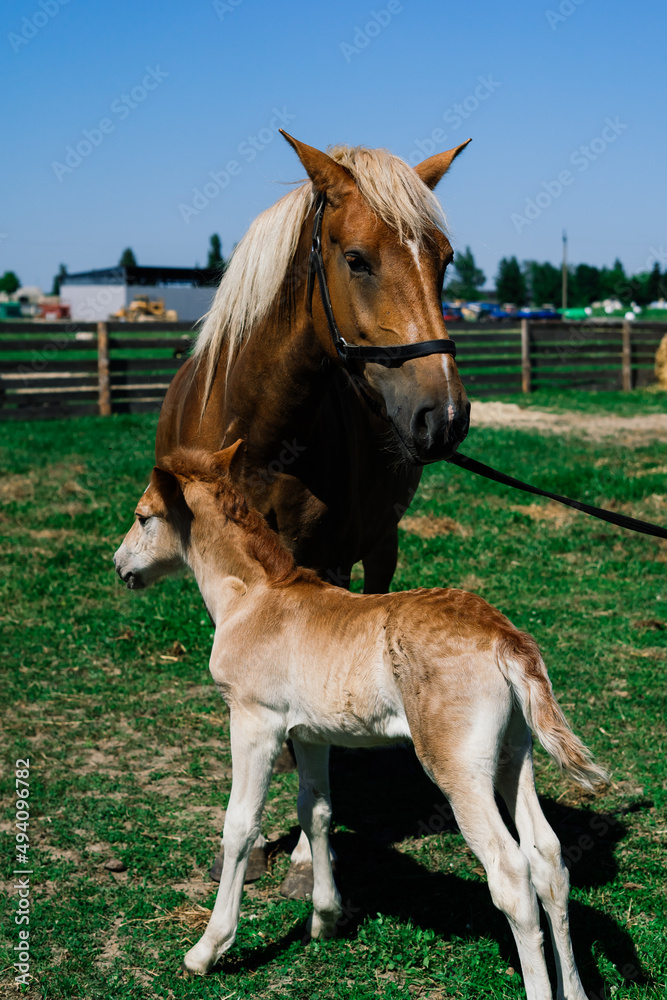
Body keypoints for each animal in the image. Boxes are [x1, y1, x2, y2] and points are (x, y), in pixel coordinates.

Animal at [114, 443, 608, 997]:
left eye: (143, 516)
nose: (119, 565)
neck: (254, 598)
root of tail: (505, 636)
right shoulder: (309, 734)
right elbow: (317, 810)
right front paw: (325, 919)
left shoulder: (254, 722)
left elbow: (239, 826)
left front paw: (207, 949)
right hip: (513, 754)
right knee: (548, 857)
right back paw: (574, 989)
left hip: (458, 766)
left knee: (511, 872)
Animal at [155, 132, 472, 895]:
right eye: (355, 259)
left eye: (444, 259)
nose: (444, 416)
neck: (258, 432)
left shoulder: (316, 566)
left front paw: (305, 851)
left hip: (379, 542)